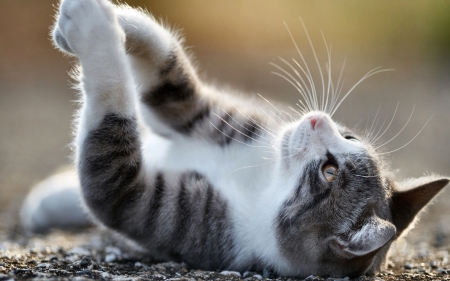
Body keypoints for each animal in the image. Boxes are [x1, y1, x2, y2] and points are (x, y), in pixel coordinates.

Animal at [20, 0, 446, 276]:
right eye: (349, 135)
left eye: (328, 172)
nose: (316, 119)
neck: (265, 181)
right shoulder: (222, 120)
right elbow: (171, 80)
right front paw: (121, 19)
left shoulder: (161, 209)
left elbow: (109, 148)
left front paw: (95, 28)